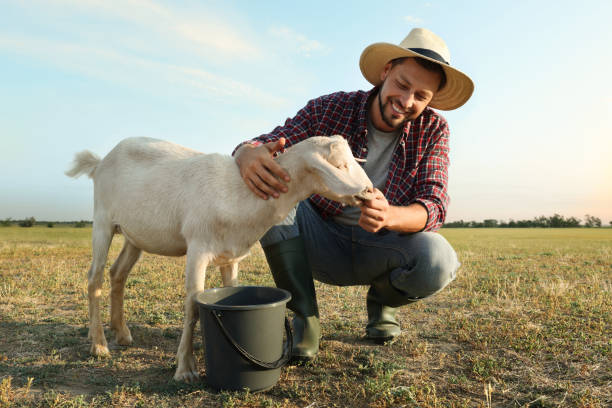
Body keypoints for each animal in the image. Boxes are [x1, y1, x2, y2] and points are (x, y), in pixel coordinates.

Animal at [67, 135, 372, 382]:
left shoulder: (231, 256)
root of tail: (100, 162)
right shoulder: (198, 249)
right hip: (103, 221)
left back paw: (122, 333)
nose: (369, 193)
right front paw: (185, 369)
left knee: (117, 274)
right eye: (339, 165)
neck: (240, 193)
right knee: (94, 278)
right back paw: (99, 345)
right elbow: (192, 307)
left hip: (135, 235)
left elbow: (230, 292)